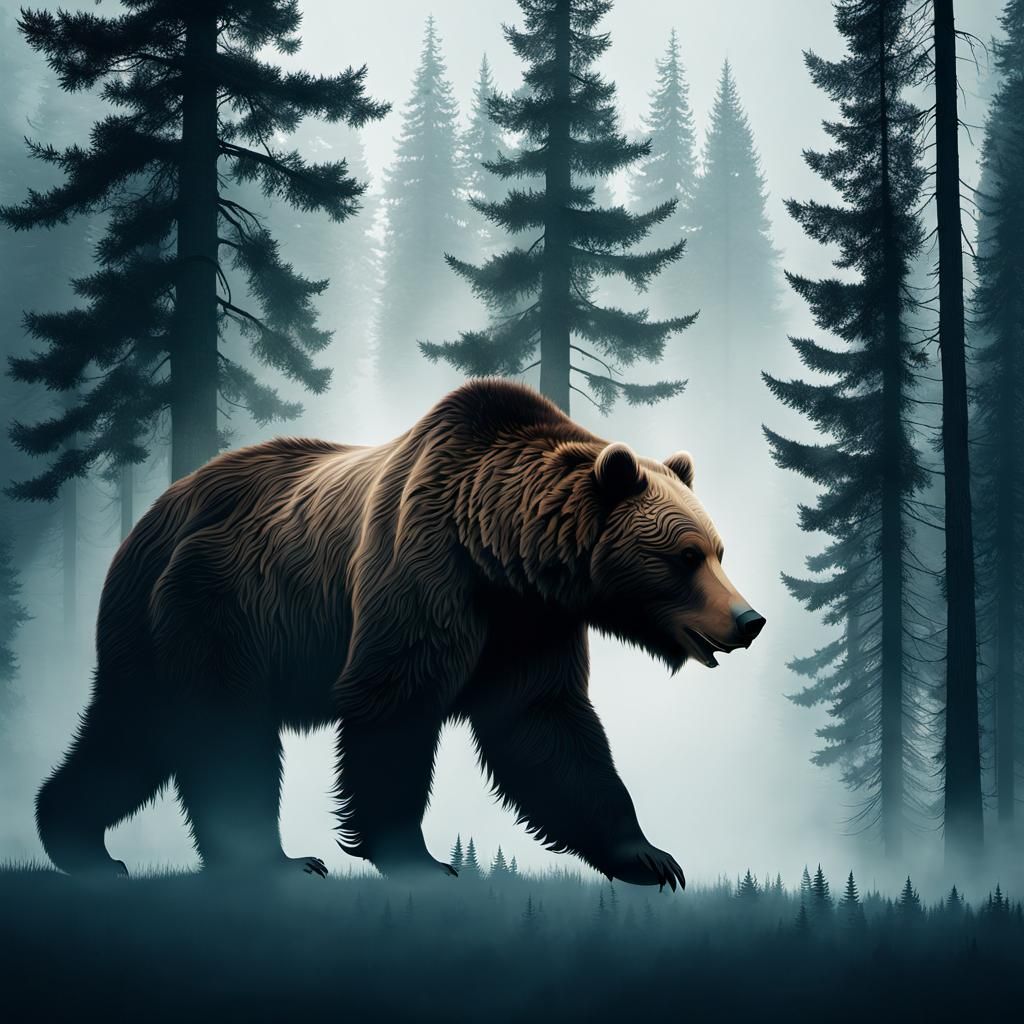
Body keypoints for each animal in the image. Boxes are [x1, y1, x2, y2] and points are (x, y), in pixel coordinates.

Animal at [36, 379, 764, 886]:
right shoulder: (422, 572)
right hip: (214, 605)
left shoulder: (528, 624)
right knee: (219, 733)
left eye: (719, 550)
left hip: (150, 630)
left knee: (133, 727)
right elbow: (394, 706)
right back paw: (274, 862)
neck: (497, 551)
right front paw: (420, 860)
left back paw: (76, 841)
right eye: (685, 556)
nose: (748, 619)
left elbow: (545, 726)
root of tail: (155, 515)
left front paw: (650, 856)